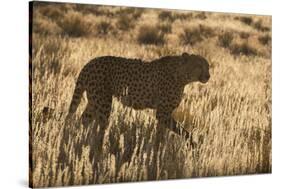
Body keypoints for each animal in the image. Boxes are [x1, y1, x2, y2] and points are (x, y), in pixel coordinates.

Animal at [66, 52, 209, 154]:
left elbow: (161, 135)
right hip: (103, 103)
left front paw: (157, 151)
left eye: (207, 66)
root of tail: (89, 63)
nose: (208, 76)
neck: (182, 75)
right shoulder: (163, 113)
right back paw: (98, 150)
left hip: (94, 101)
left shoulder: (164, 114)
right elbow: (182, 131)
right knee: (100, 127)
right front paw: (194, 146)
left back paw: (79, 139)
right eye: (199, 65)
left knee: (83, 120)